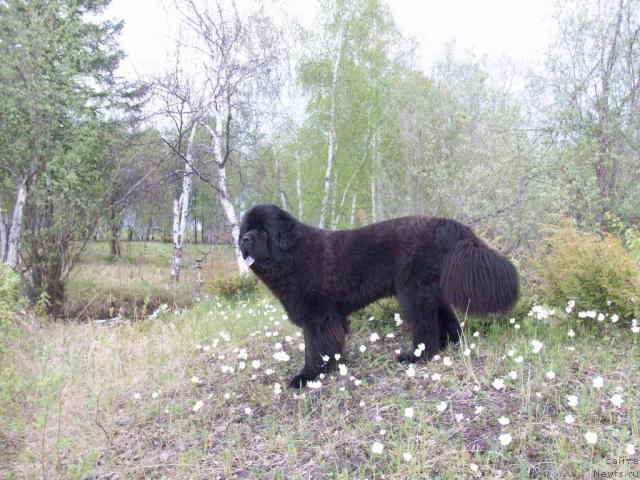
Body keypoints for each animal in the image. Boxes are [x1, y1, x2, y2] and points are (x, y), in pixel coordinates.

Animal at [240, 204, 520, 388]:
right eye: (246, 229)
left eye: (263, 232)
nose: (244, 239)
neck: (295, 255)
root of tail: (441, 222)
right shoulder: (329, 318)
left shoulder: (317, 318)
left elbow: (315, 349)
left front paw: (308, 376)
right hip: (431, 290)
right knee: (446, 319)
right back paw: (449, 344)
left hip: (413, 293)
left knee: (425, 329)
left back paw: (416, 357)